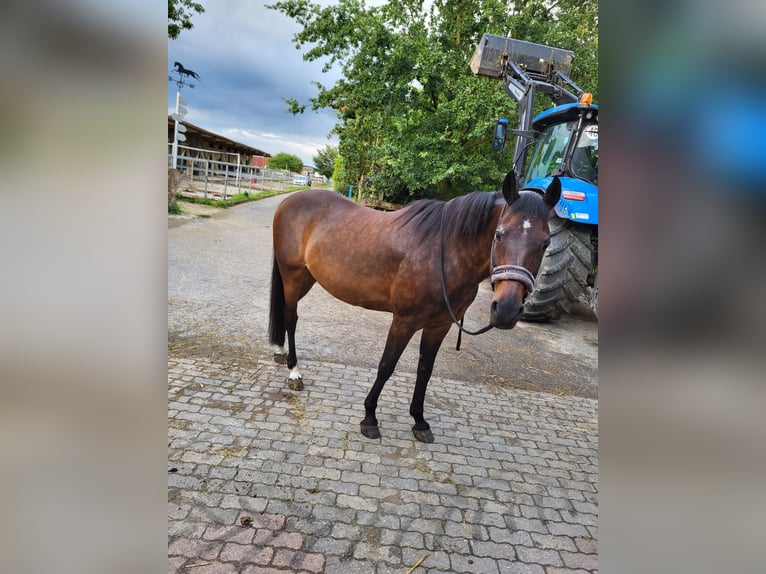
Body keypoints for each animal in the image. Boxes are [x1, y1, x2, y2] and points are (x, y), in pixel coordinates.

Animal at [272, 173, 564, 444]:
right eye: (499, 235)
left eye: (546, 243)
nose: (506, 310)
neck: (444, 253)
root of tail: (289, 201)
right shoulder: (404, 321)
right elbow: (386, 366)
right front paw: (369, 418)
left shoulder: (439, 326)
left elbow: (425, 371)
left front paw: (420, 421)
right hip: (292, 276)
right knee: (291, 318)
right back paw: (294, 372)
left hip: (307, 277)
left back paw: (279, 352)